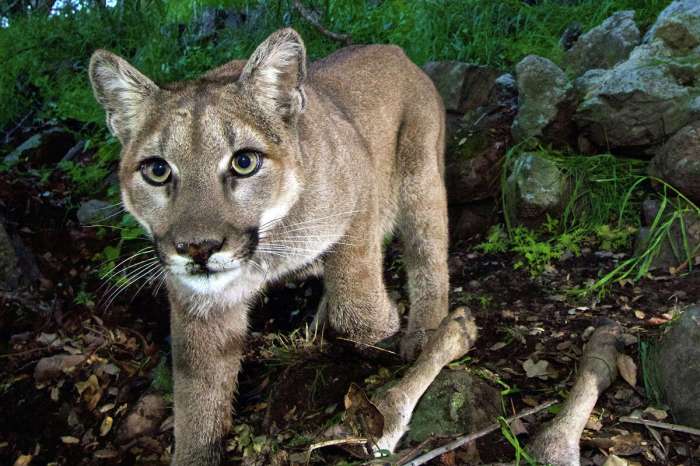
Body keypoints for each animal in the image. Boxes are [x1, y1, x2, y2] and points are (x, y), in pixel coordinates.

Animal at [89, 29, 448, 466]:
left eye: (244, 162)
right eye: (157, 170)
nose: (198, 248)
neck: (267, 250)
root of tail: (390, 49)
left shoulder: (359, 185)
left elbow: (356, 300)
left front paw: (381, 327)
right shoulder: (200, 306)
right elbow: (197, 401)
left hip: (420, 179)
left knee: (429, 256)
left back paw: (424, 332)